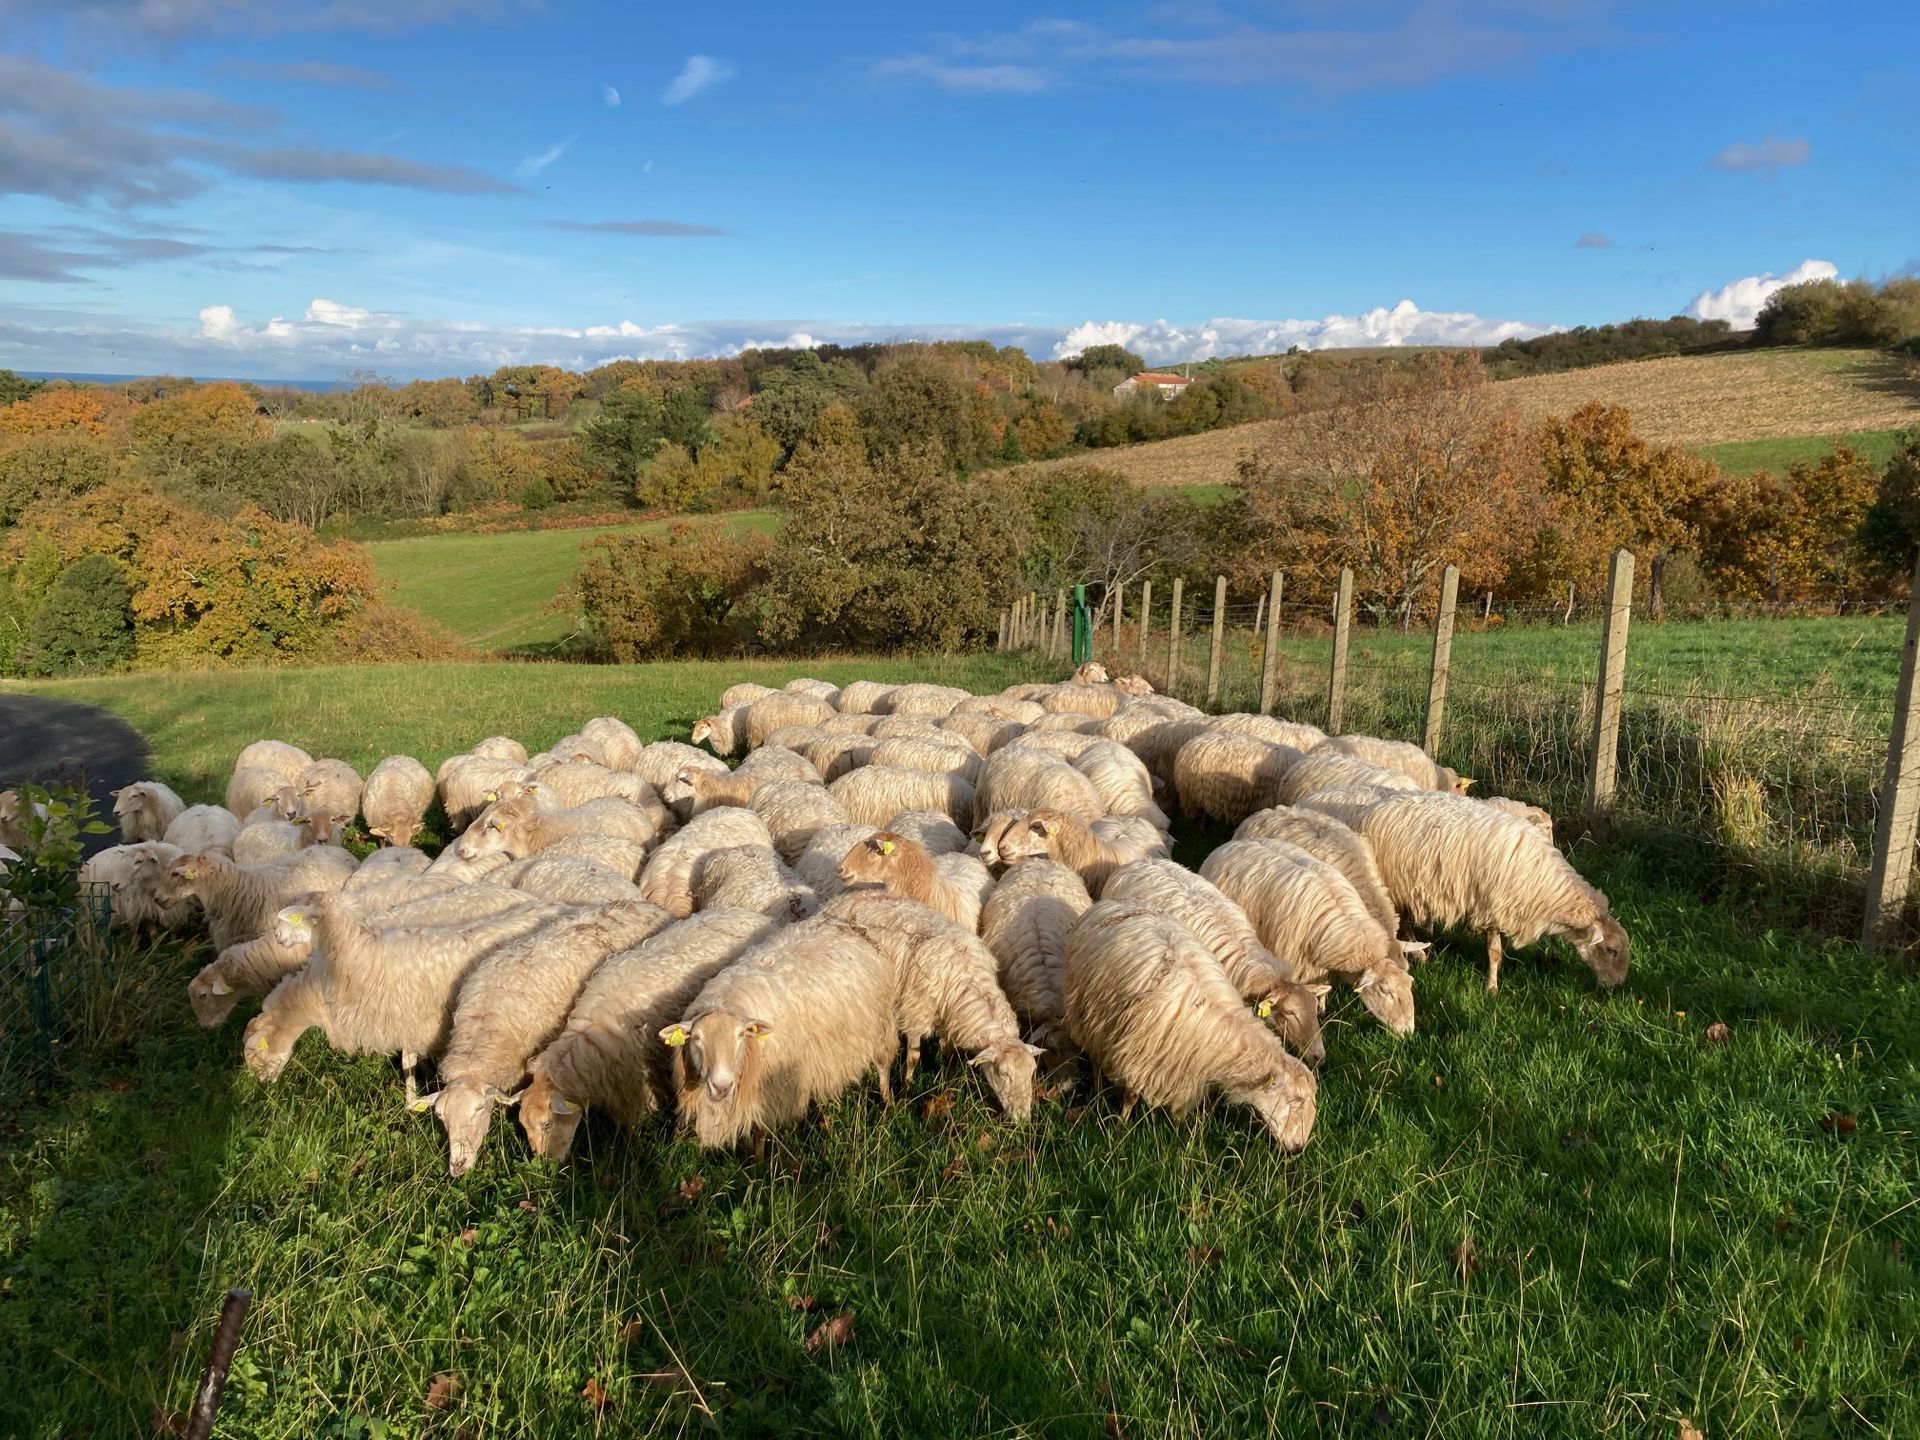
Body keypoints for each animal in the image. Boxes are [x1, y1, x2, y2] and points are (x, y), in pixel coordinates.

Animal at [661, 917, 902, 1151]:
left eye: (740, 1036)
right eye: (697, 1039)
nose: (721, 1087)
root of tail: (850, 925)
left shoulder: (771, 1089)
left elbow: (759, 1133)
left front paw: (757, 1161)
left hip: (880, 1025)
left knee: (883, 1066)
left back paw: (887, 1104)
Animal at [820, 891, 1039, 1117]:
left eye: (1032, 1072)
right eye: (1003, 1073)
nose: (1023, 1118)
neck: (969, 976)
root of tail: (843, 898)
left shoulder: (950, 1018)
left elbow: (950, 1055)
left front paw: (948, 1081)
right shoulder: (916, 1012)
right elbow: (913, 1058)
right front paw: (907, 1088)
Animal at [1063, 902, 1317, 1151]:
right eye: (1296, 1099)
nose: (1298, 1148)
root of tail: (1111, 905)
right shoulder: (1138, 1056)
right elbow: (1131, 1097)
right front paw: (1119, 1129)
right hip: (1089, 1015)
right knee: (1095, 1059)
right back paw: (1097, 1094)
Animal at [1342, 791, 1628, 993]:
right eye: (1611, 950)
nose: (1616, 986)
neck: (1545, 889)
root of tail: (1369, 809)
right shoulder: (1493, 906)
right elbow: (1494, 952)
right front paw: (1491, 988)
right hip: (1394, 885)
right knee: (1403, 921)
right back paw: (1420, 954)